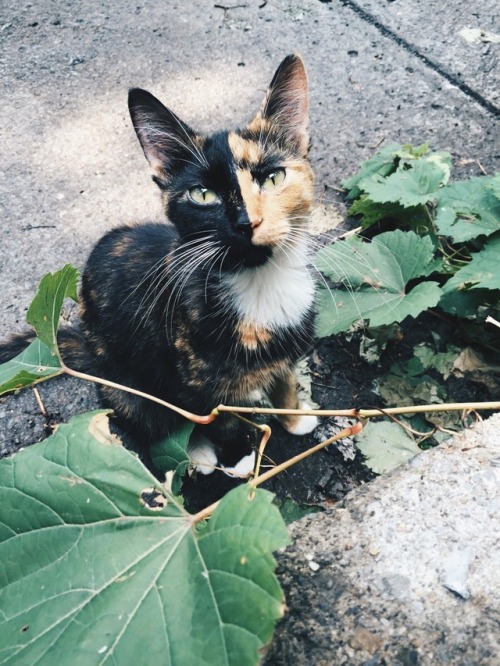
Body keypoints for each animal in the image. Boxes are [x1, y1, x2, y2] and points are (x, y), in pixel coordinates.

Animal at [0, 54, 318, 474]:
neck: (260, 283)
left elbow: (285, 379)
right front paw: (237, 457)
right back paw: (196, 453)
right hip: (126, 385)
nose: (246, 222)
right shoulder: (194, 382)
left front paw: (295, 417)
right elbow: (218, 419)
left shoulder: (286, 350)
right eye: (203, 194)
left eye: (273, 177)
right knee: (154, 418)